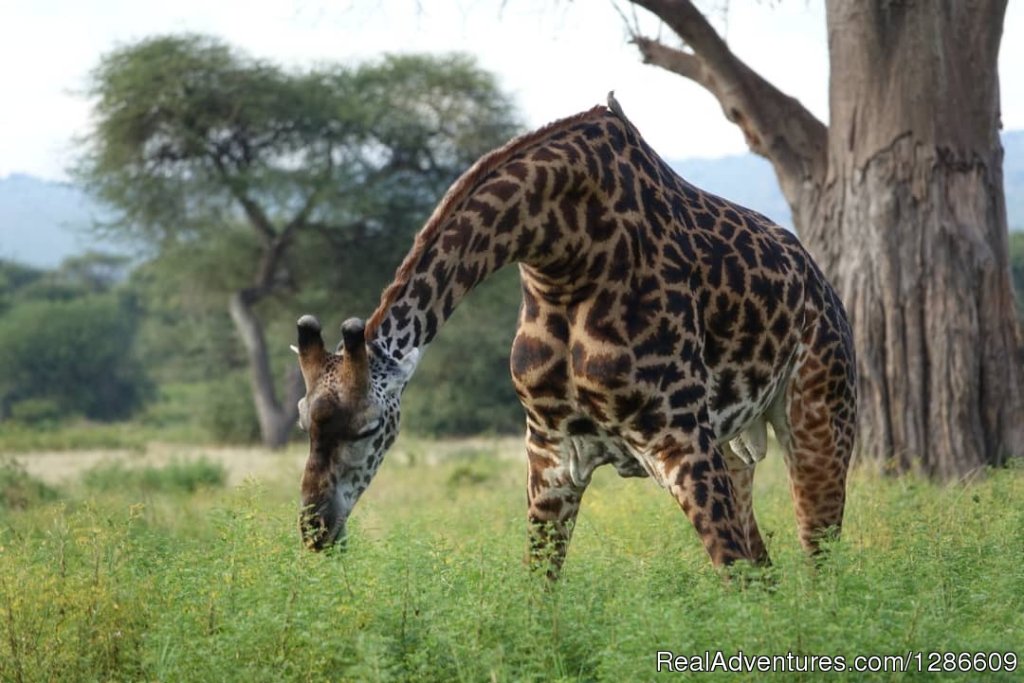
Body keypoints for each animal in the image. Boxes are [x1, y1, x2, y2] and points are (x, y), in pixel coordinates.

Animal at [296, 93, 856, 573]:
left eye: (369, 427)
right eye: (304, 422)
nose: (315, 529)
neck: (564, 255)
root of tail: (825, 287)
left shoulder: (683, 441)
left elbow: (735, 578)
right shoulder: (551, 454)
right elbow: (538, 596)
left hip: (820, 426)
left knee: (820, 573)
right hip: (737, 449)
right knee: (770, 570)